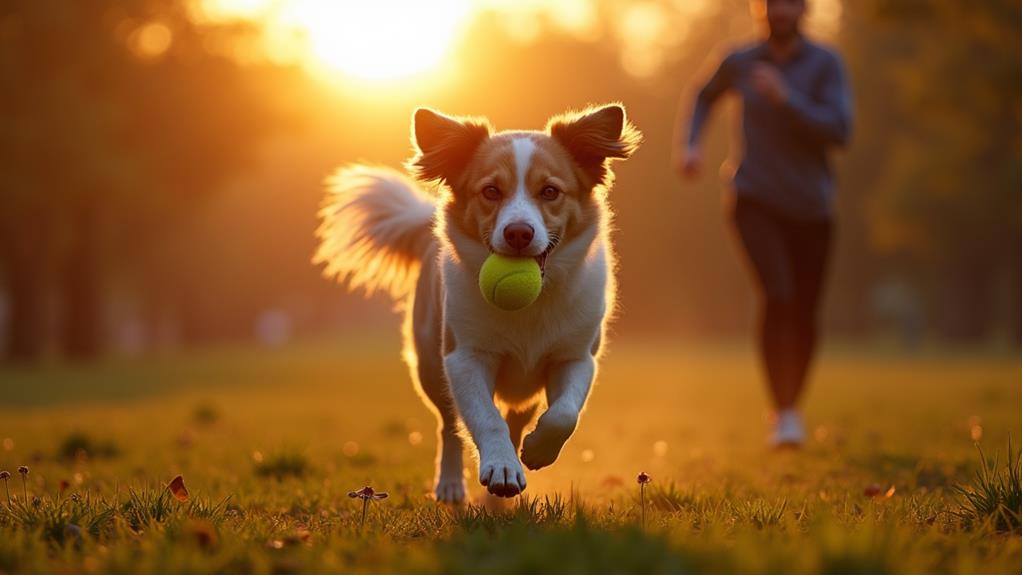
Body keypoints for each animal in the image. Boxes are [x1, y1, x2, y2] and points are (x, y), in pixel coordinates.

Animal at [314, 104, 641, 504]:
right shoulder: (464, 357)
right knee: (449, 425)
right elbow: (486, 418)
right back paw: (452, 484)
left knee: (516, 417)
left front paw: (536, 450)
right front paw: (501, 467)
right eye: (491, 190)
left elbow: (564, 414)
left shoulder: (575, 356)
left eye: (550, 191)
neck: (530, 306)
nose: (519, 233)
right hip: (430, 365)